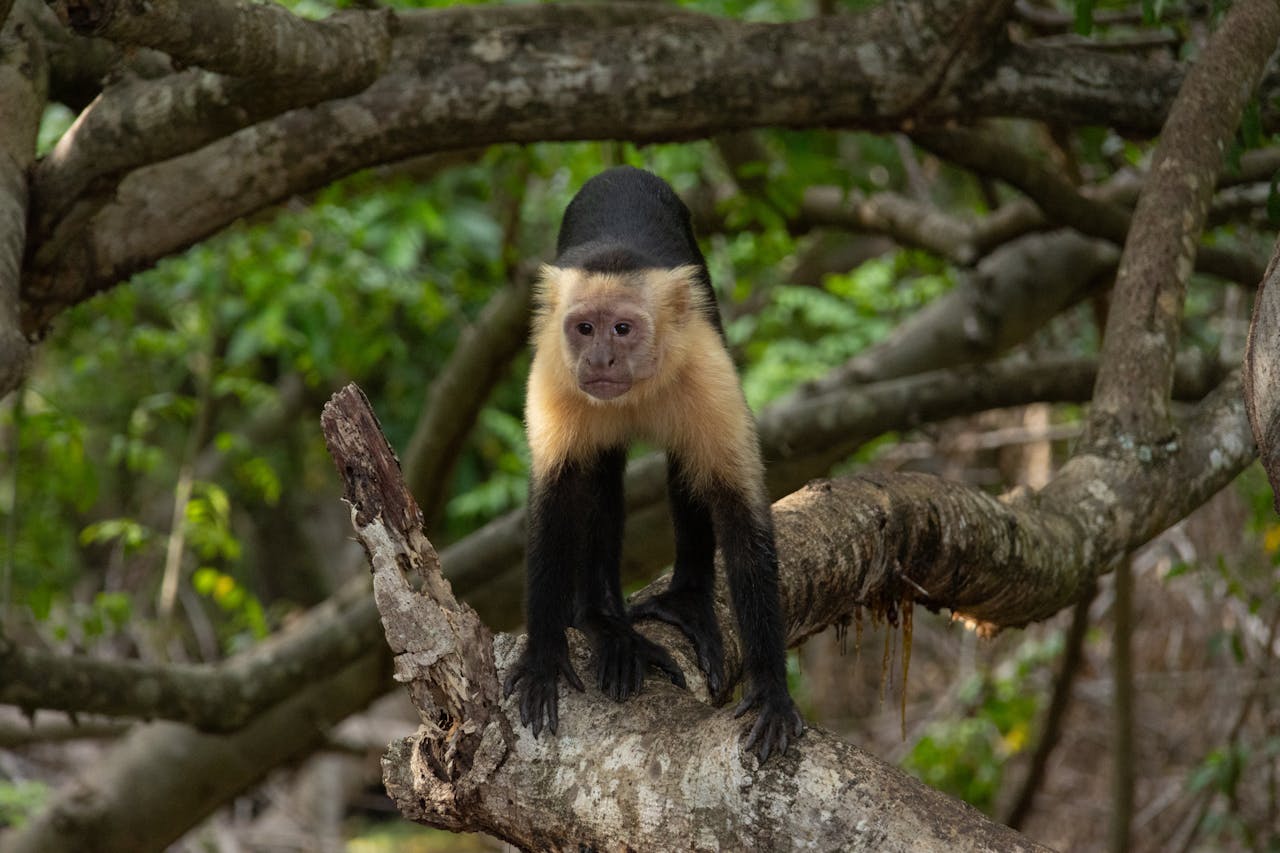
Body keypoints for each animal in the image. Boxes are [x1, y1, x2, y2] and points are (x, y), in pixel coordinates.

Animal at [502, 166, 803, 763]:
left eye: (621, 329)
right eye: (585, 329)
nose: (600, 360)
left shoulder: (705, 366)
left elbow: (737, 507)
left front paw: (771, 689)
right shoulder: (553, 372)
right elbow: (557, 500)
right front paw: (544, 656)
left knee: (688, 465)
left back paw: (685, 601)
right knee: (599, 472)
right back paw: (605, 624)